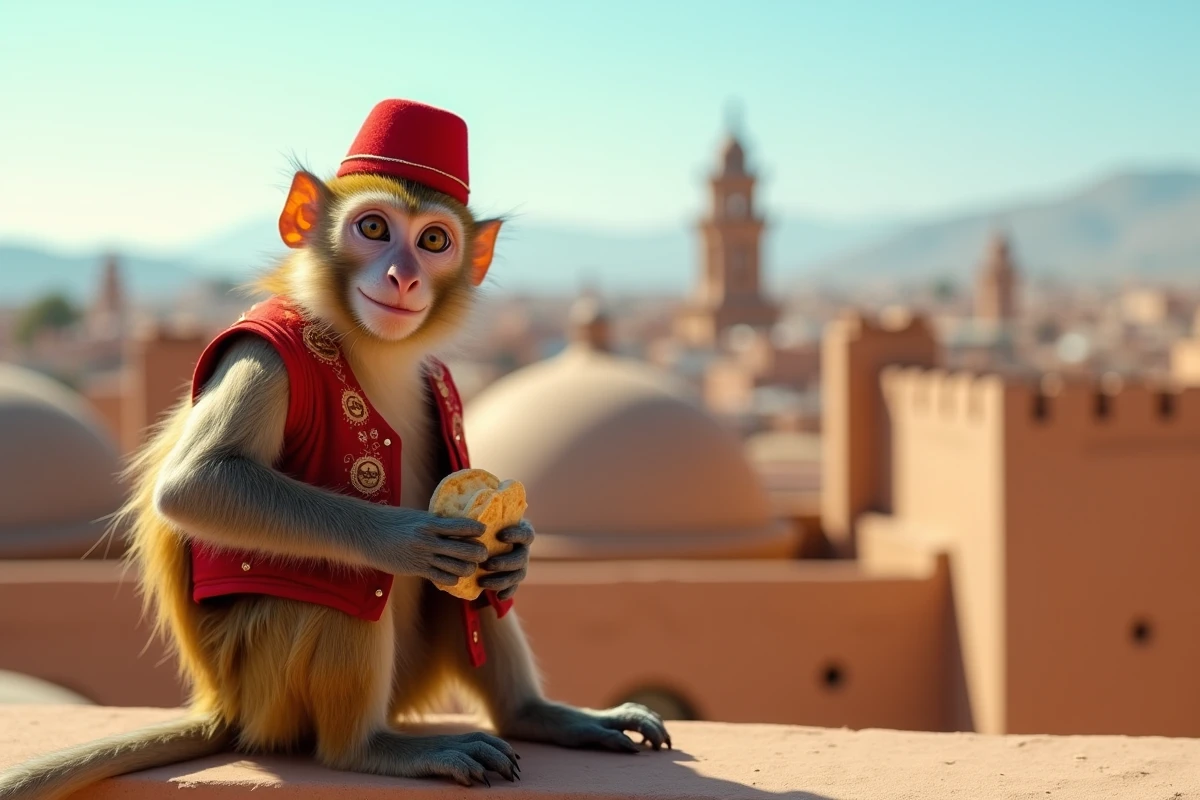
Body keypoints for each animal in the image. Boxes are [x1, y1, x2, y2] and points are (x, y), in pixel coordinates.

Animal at [0, 102, 669, 800]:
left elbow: (490, 545)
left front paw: (519, 547)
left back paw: (535, 713)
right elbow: (198, 483)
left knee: (478, 594)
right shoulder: (264, 354)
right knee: (341, 589)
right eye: (373, 228)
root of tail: (225, 708)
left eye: (434, 241)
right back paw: (373, 748)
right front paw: (402, 540)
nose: (404, 276)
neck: (369, 346)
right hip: (269, 686)